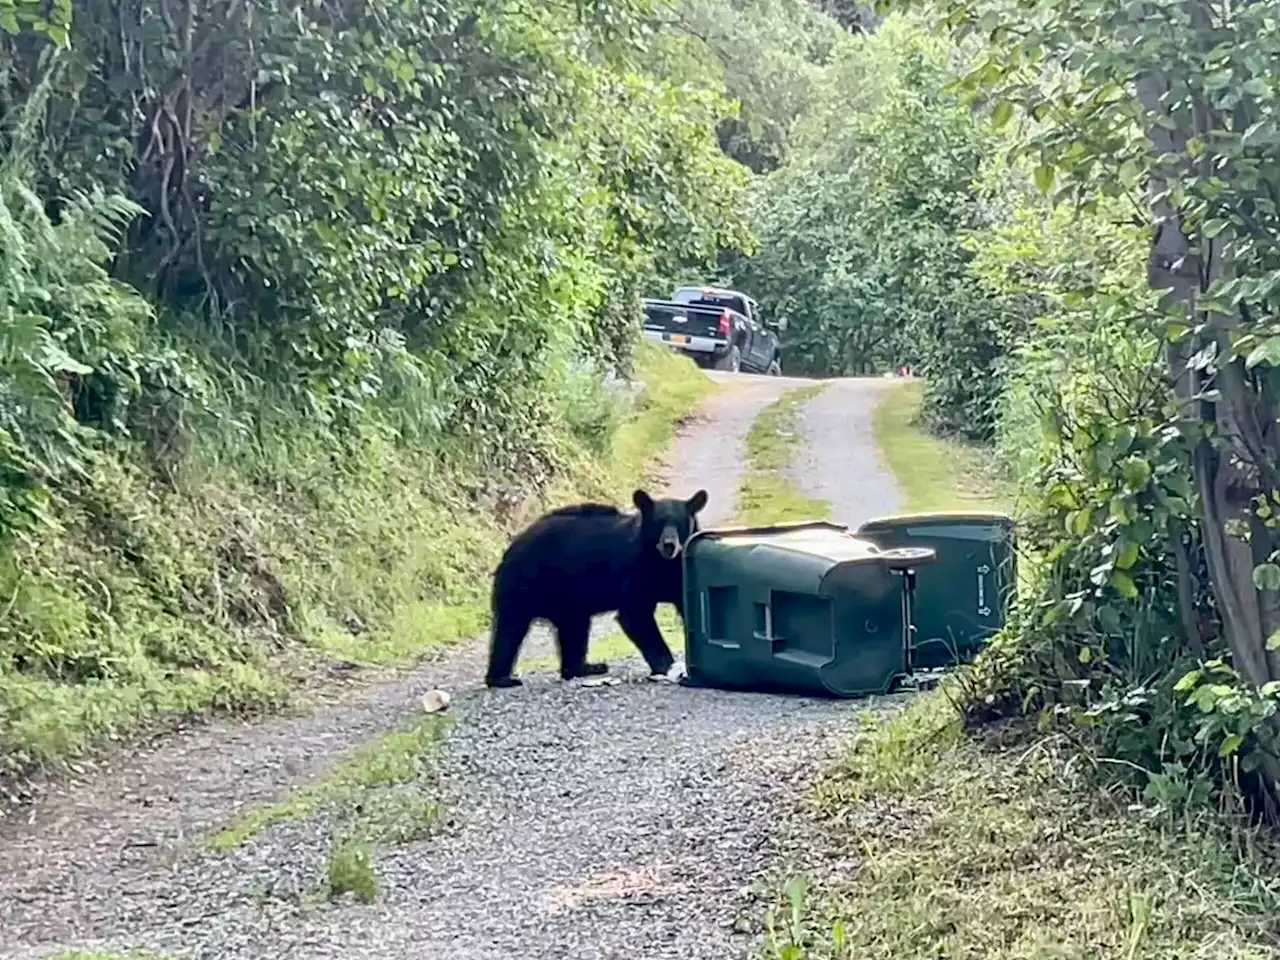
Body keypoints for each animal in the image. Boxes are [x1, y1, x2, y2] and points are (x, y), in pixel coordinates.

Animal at [486, 491, 711, 686]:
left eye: (680, 523)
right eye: (658, 522)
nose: (669, 545)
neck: (661, 564)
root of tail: (512, 546)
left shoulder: (680, 574)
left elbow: (689, 609)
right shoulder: (634, 569)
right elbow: (635, 614)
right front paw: (668, 667)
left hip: (568, 599)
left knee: (574, 630)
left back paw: (586, 668)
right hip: (525, 582)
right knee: (510, 629)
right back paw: (502, 679)